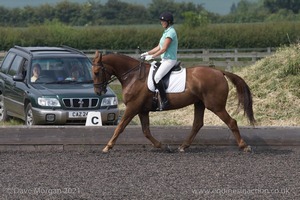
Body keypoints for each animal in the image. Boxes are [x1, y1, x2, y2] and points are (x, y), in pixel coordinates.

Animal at [92, 50, 255, 152]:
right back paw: (183, 146)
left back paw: (244, 146)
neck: (133, 76)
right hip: (200, 103)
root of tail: (219, 72)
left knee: (231, 122)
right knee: (197, 124)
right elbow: (146, 131)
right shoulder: (142, 110)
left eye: (97, 72)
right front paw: (163, 146)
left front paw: (107, 146)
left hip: (215, 105)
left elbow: (120, 127)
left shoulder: (133, 107)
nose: (98, 92)